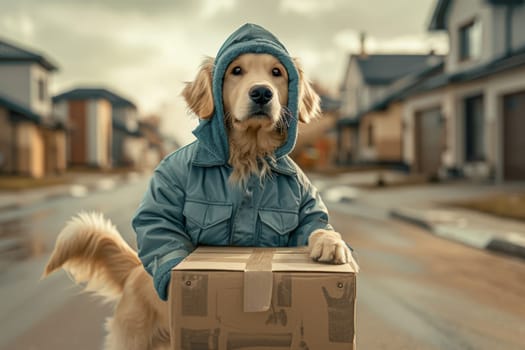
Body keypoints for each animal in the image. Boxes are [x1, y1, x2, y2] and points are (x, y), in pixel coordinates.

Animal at [44, 52, 356, 350]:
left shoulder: (302, 205)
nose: (261, 93)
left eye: (276, 72)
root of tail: (134, 273)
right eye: (236, 70)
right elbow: (158, 220)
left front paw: (331, 244)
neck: (249, 157)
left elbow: (315, 225)